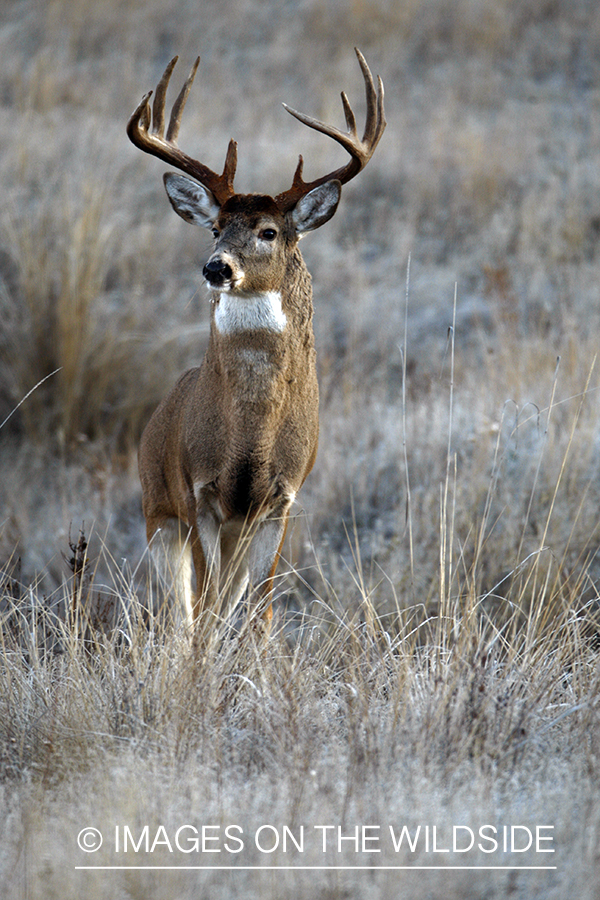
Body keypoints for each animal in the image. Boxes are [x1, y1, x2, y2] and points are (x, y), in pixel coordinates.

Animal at [128, 44, 386, 632]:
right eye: (215, 227)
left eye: (269, 231)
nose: (216, 267)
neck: (249, 436)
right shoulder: (197, 493)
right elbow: (201, 614)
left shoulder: (280, 503)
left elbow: (261, 614)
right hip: (158, 510)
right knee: (182, 613)